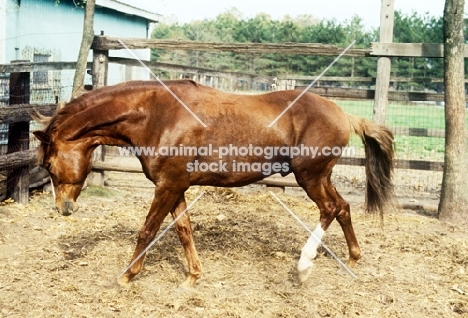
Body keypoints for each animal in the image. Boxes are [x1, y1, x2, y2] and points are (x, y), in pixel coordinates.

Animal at [33, 79, 394, 286]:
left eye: (47, 163)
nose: (63, 208)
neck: (156, 115)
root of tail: (344, 114)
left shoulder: (167, 185)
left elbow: (148, 230)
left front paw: (126, 276)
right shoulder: (175, 185)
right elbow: (183, 230)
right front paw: (192, 277)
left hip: (310, 176)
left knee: (330, 208)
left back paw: (304, 267)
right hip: (321, 176)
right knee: (343, 207)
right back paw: (351, 259)